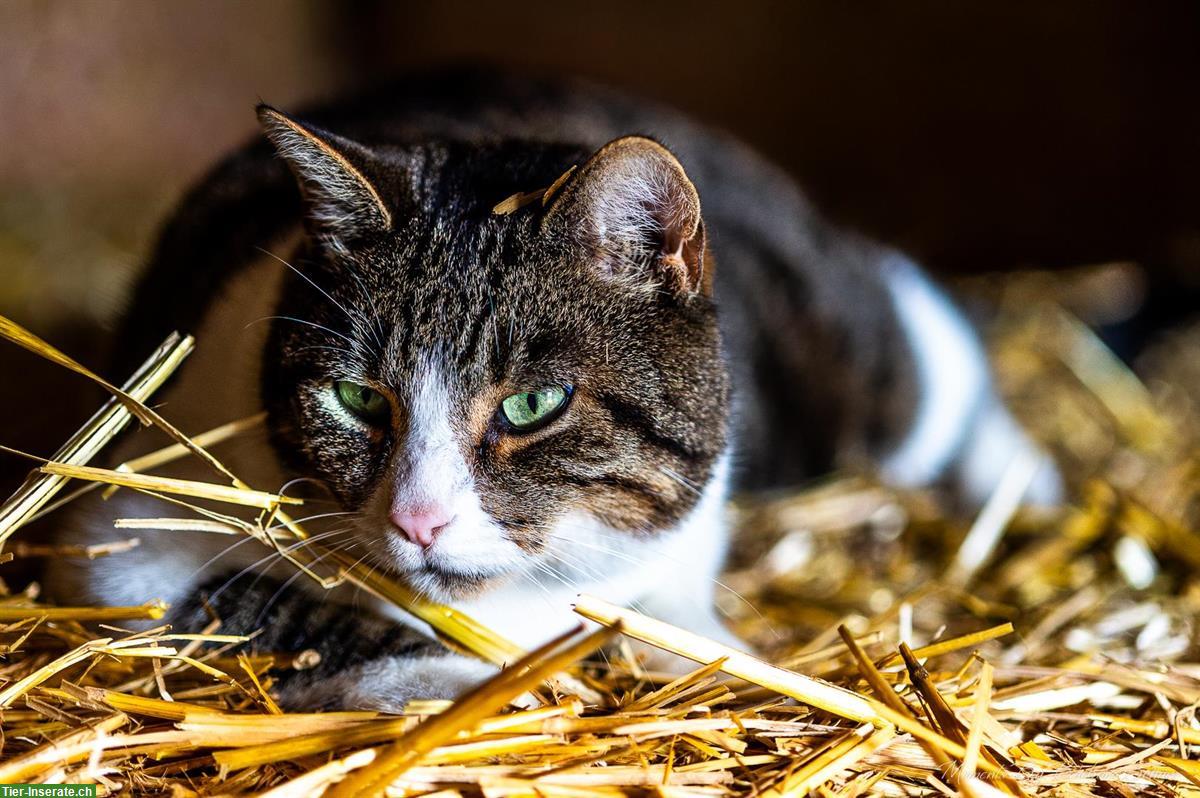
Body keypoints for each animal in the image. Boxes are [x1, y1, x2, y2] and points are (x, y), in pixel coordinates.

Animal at [46, 68, 1060, 710]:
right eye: (359, 400)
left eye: (533, 406)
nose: (417, 520)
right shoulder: (120, 528)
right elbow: (261, 602)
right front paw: (455, 683)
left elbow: (677, 608)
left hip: (867, 375)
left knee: (934, 332)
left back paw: (1029, 487)